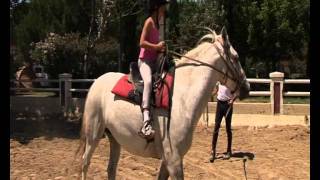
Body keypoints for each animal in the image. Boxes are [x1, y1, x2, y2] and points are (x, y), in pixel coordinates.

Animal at [77, 27, 250, 180]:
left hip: (114, 139)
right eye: (236, 57)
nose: (247, 88)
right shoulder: (173, 160)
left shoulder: (168, 161)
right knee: (85, 163)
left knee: (111, 168)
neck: (182, 100)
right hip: (94, 135)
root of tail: (97, 81)